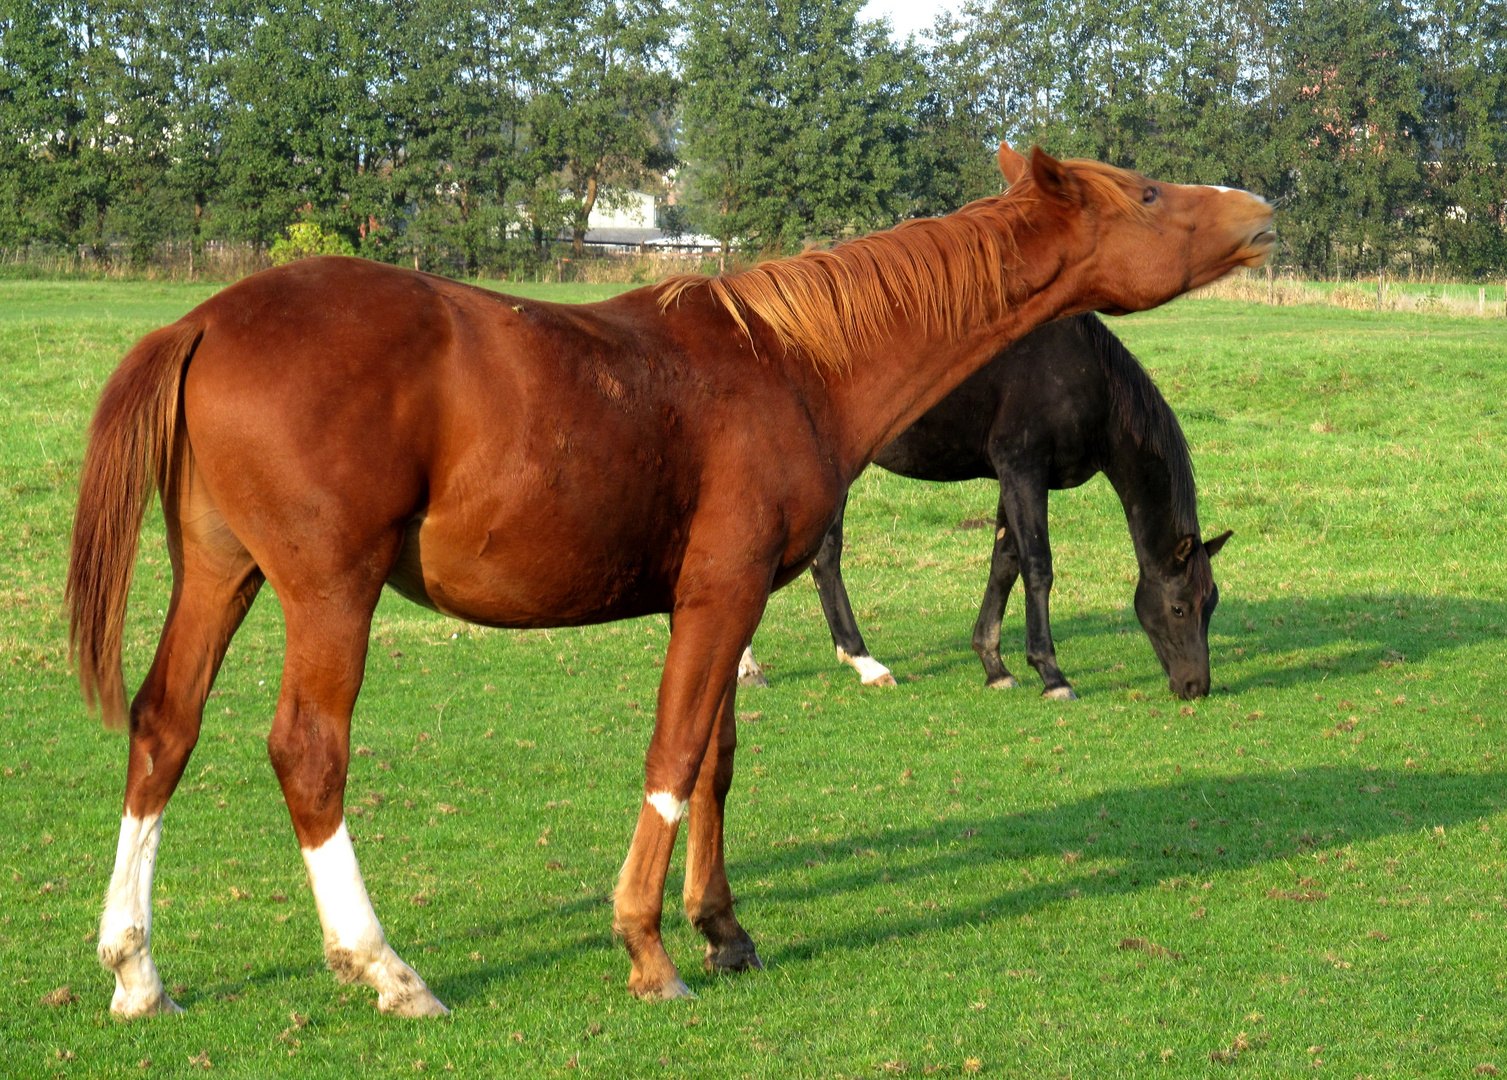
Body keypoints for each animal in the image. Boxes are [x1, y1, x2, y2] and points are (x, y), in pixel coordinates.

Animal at [735, 311, 1229, 698]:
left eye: (1212, 605)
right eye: (1179, 607)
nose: (1196, 687)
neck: (1081, 370)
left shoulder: (1015, 478)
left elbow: (1004, 564)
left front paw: (995, 666)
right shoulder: (1024, 469)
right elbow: (1037, 567)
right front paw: (1051, 674)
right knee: (815, 557)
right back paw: (854, 662)